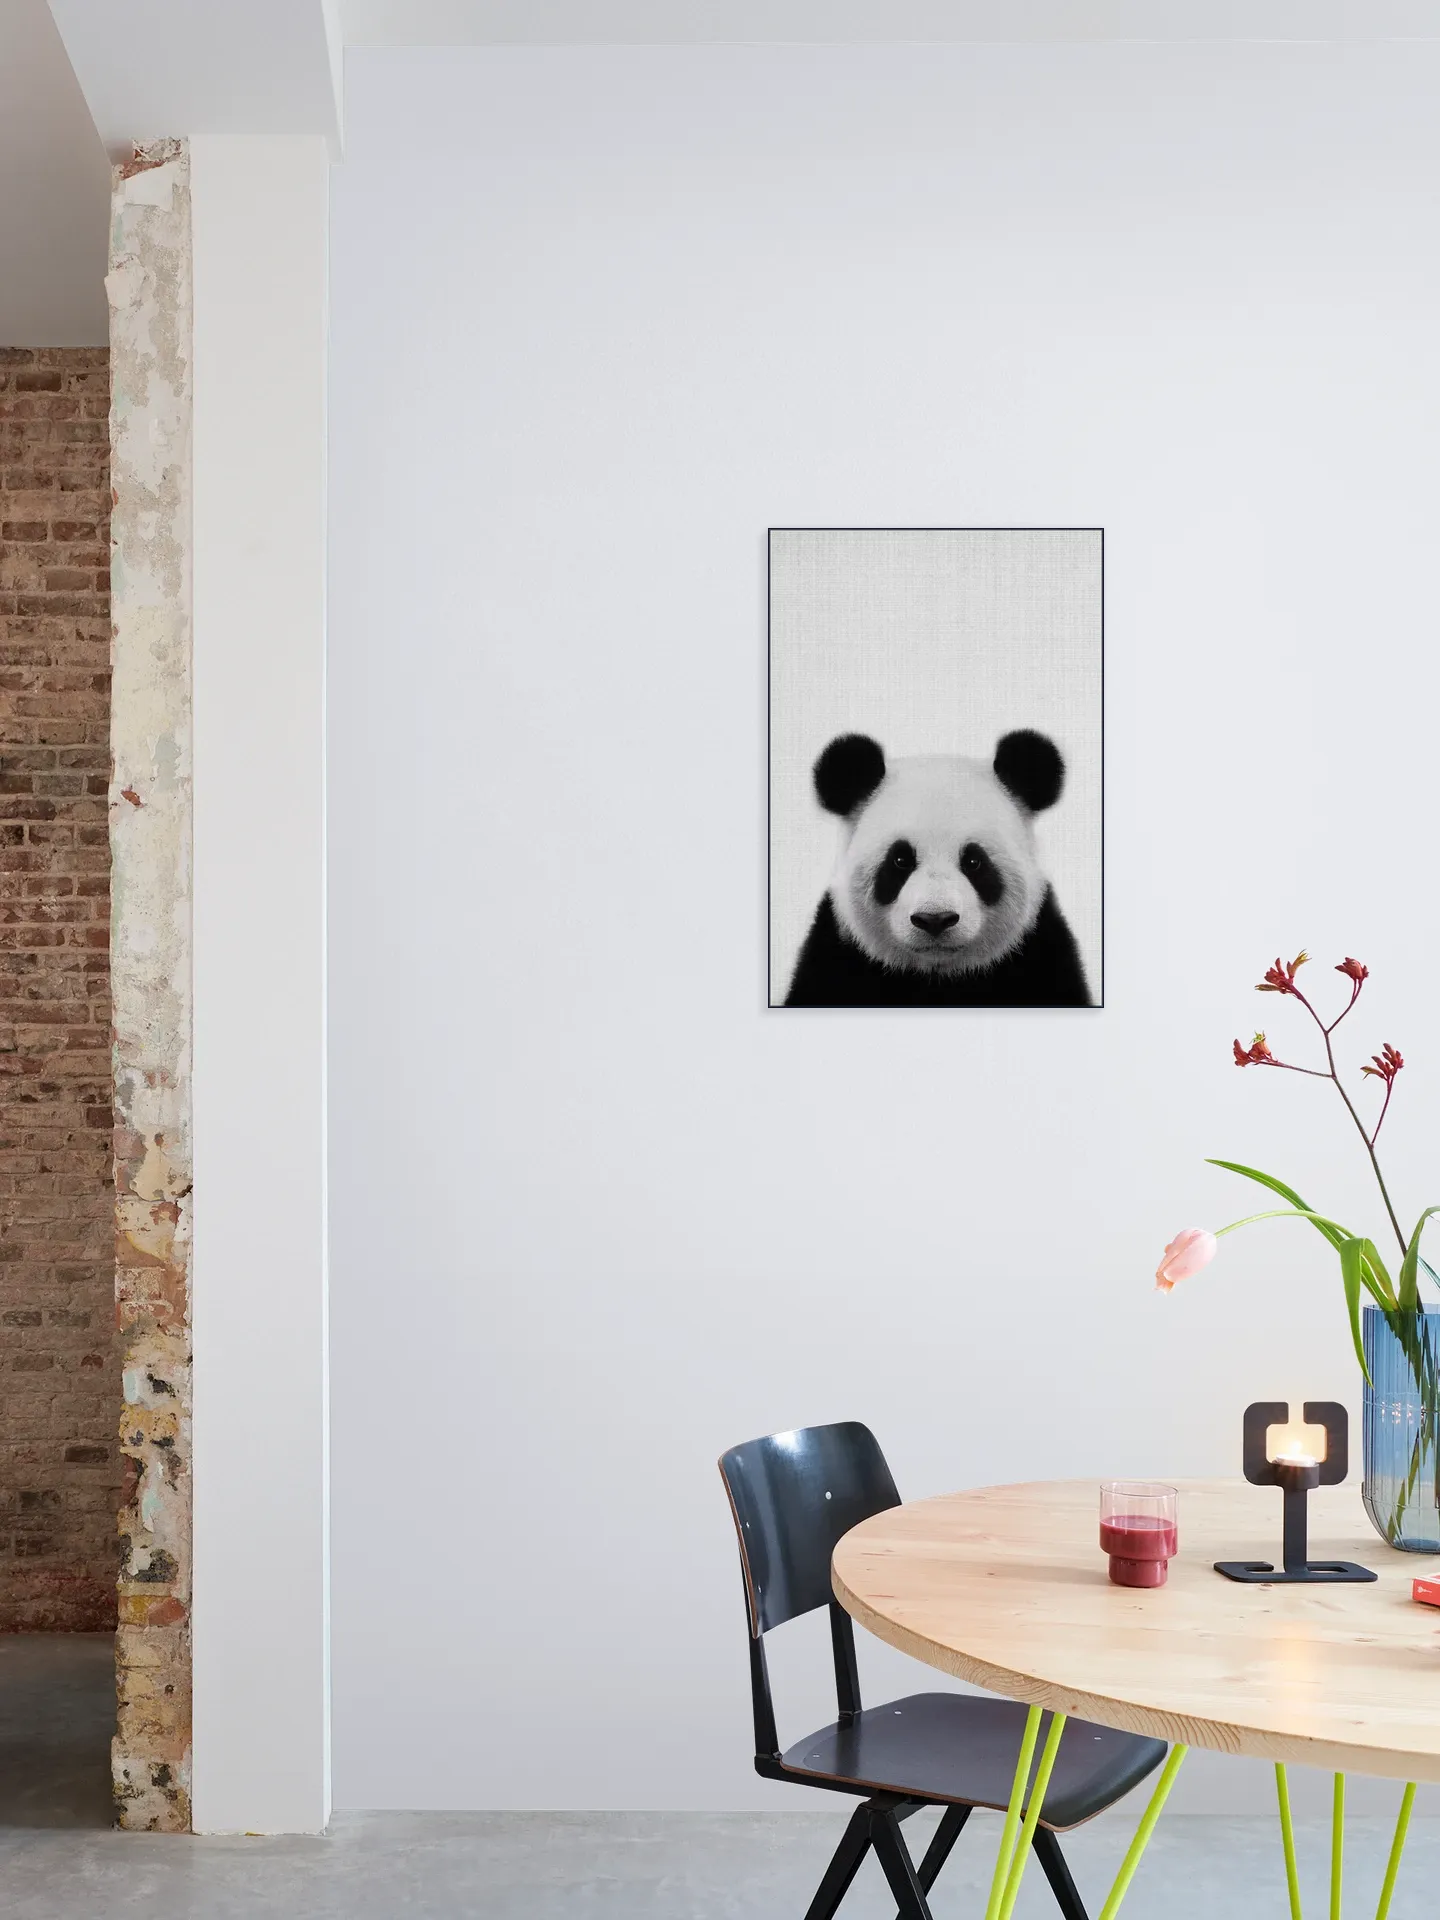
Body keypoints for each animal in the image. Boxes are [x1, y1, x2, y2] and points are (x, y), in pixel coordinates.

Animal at [784, 729, 1091, 1008]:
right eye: (900, 860)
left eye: (973, 861)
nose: (935, 919)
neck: (936, 976)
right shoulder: (836, 958)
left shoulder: (1041, 954)